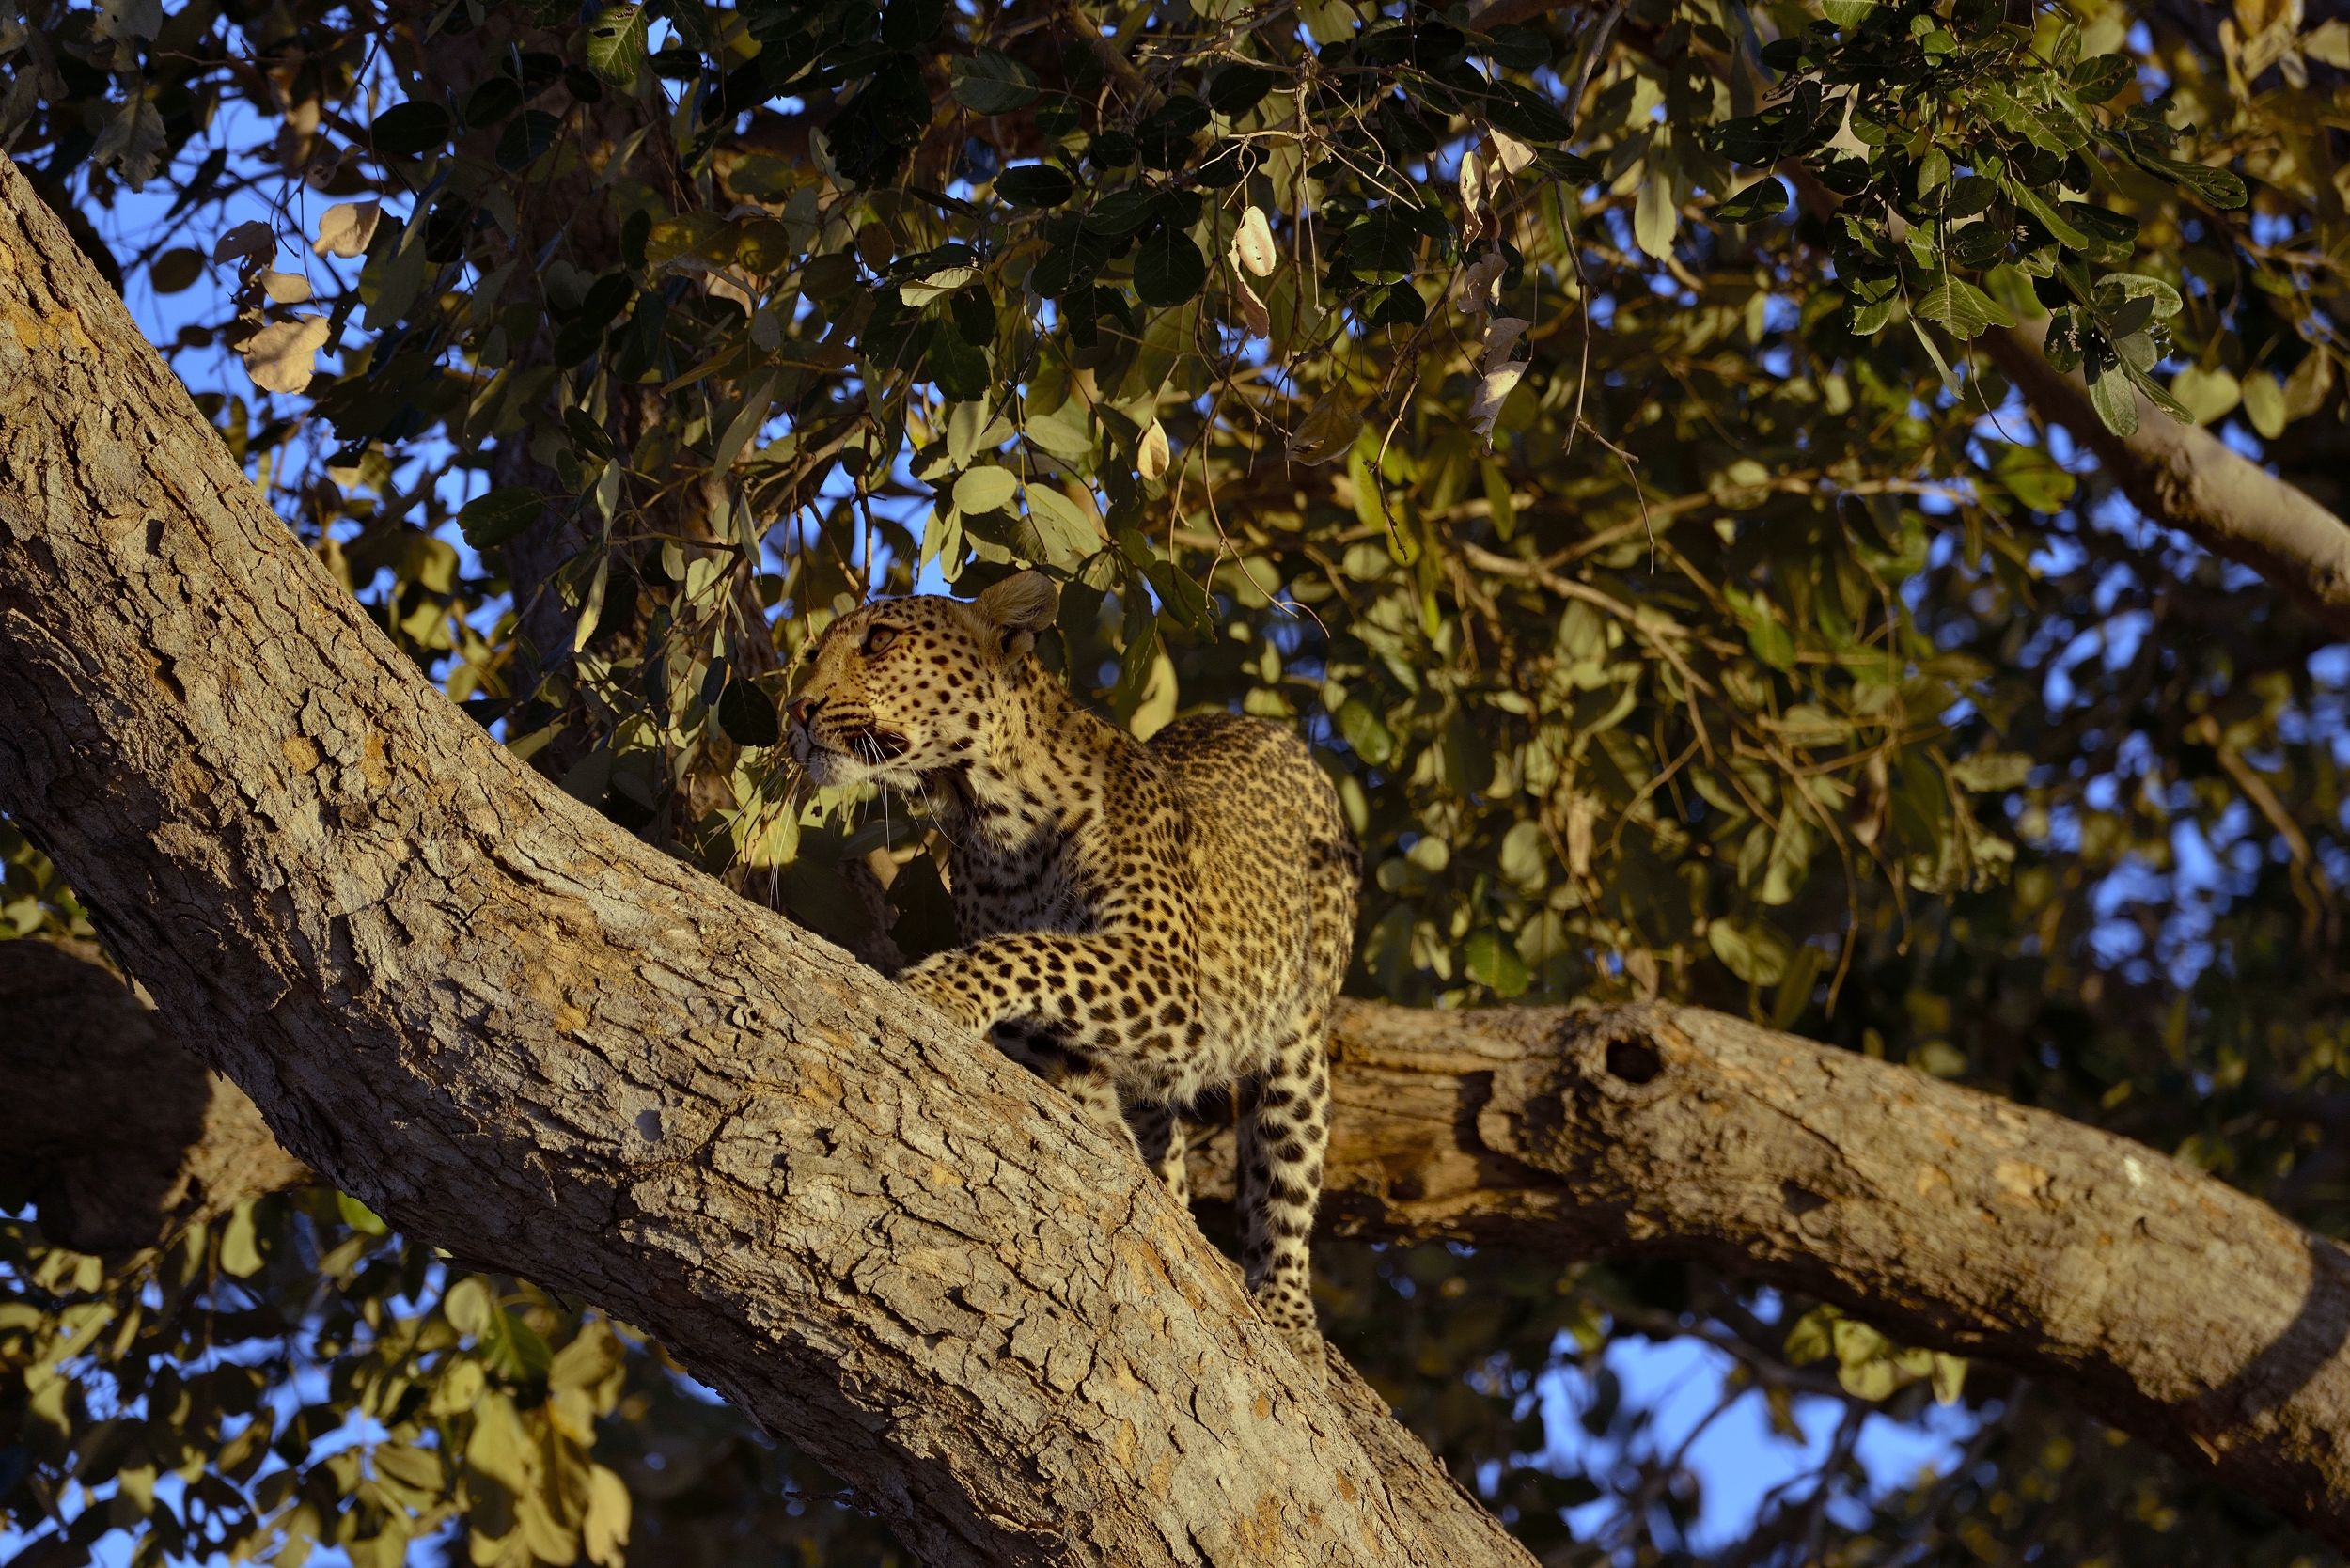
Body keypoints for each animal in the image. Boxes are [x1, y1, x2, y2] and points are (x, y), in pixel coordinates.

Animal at [783, 569, 1359, 1370]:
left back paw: (1287, 1312)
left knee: (1288, 1167)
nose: (796, 709)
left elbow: (1034, 950)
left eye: (881, 641)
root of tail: (1270, 730)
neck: (990, 812)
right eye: (814, 653)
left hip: (1300, 1033)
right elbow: (1059, 1028)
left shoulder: (1167, 982)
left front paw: (940, 988)